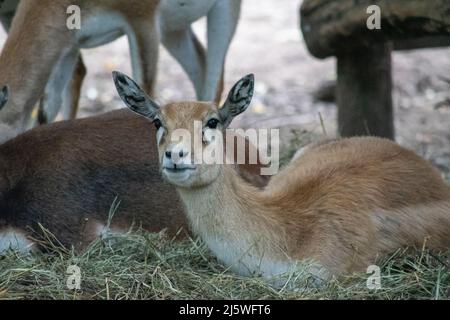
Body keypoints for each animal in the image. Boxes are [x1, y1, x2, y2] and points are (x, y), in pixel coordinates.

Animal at [0, 0, 243, 142]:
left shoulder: (143, 21)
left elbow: (145, 90)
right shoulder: (68, 45)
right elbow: (47, 109)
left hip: (222, 12)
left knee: (214, 85)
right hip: (174, 29)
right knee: (200, 67)